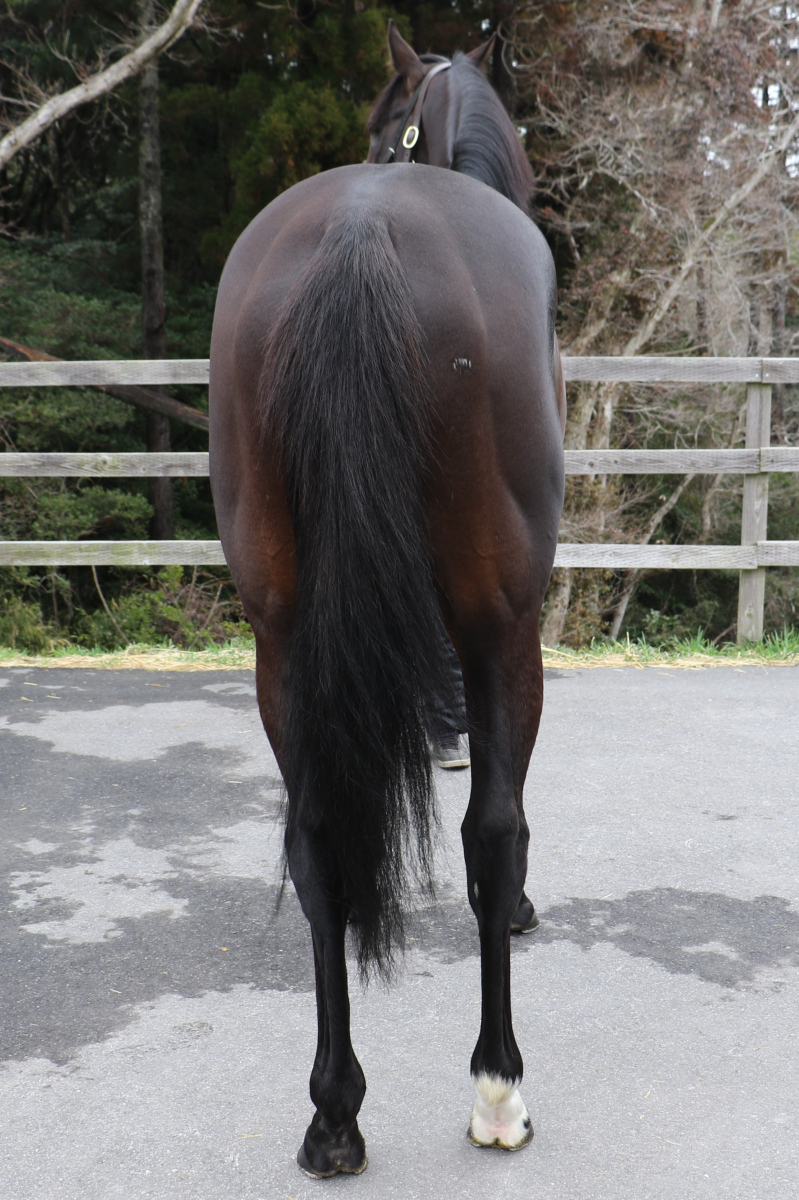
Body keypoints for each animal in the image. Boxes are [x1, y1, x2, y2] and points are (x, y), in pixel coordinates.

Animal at [209, 20, 566, 1179]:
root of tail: (361, 234)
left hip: (279, 635)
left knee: (317, 838)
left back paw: (333, 1111)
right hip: (503, 623)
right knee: (491, 831)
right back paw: (497, 1087)